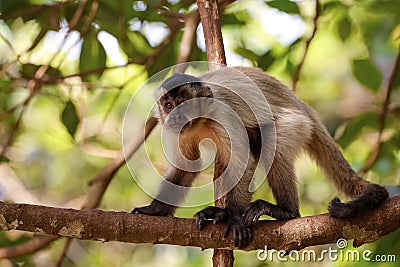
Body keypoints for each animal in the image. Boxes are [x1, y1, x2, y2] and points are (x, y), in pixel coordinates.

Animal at [133, 66, 390, 249]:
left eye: (183, 104)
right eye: (168, 105)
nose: (175, 116)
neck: (201, 120)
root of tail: (304, 107)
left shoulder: (222, 114)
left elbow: (243, 161)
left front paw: (234, 218)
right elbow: (186, 167)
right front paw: (155, 210)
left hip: (296, 124)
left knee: (273, 144)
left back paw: (286, 212)